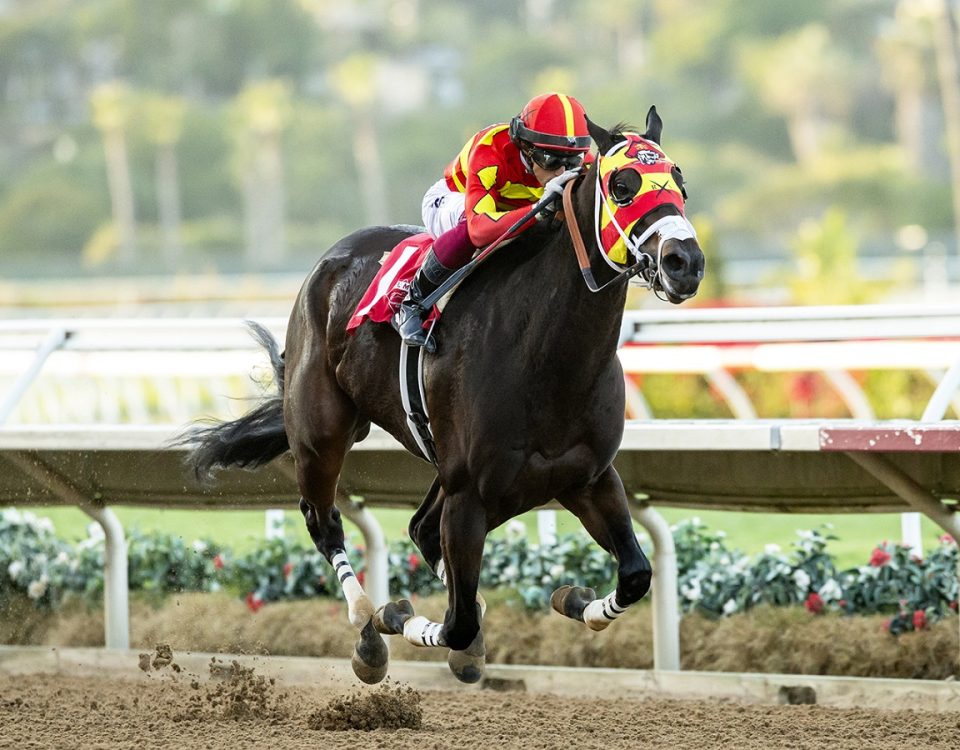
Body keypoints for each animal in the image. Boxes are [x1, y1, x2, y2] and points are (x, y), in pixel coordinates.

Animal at [182, 110, 704, 688]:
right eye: (621, 185)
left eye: (680, 184)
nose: (684, 262)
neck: (546, 355)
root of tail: (328, 263)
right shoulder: (470, 493)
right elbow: (453, 622)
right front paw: (396, 615)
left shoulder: (584, 477)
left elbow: (635, 574)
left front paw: (573, 599)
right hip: (322, 434)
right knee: (325, 521)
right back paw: (368, 630)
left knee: (422, 530)